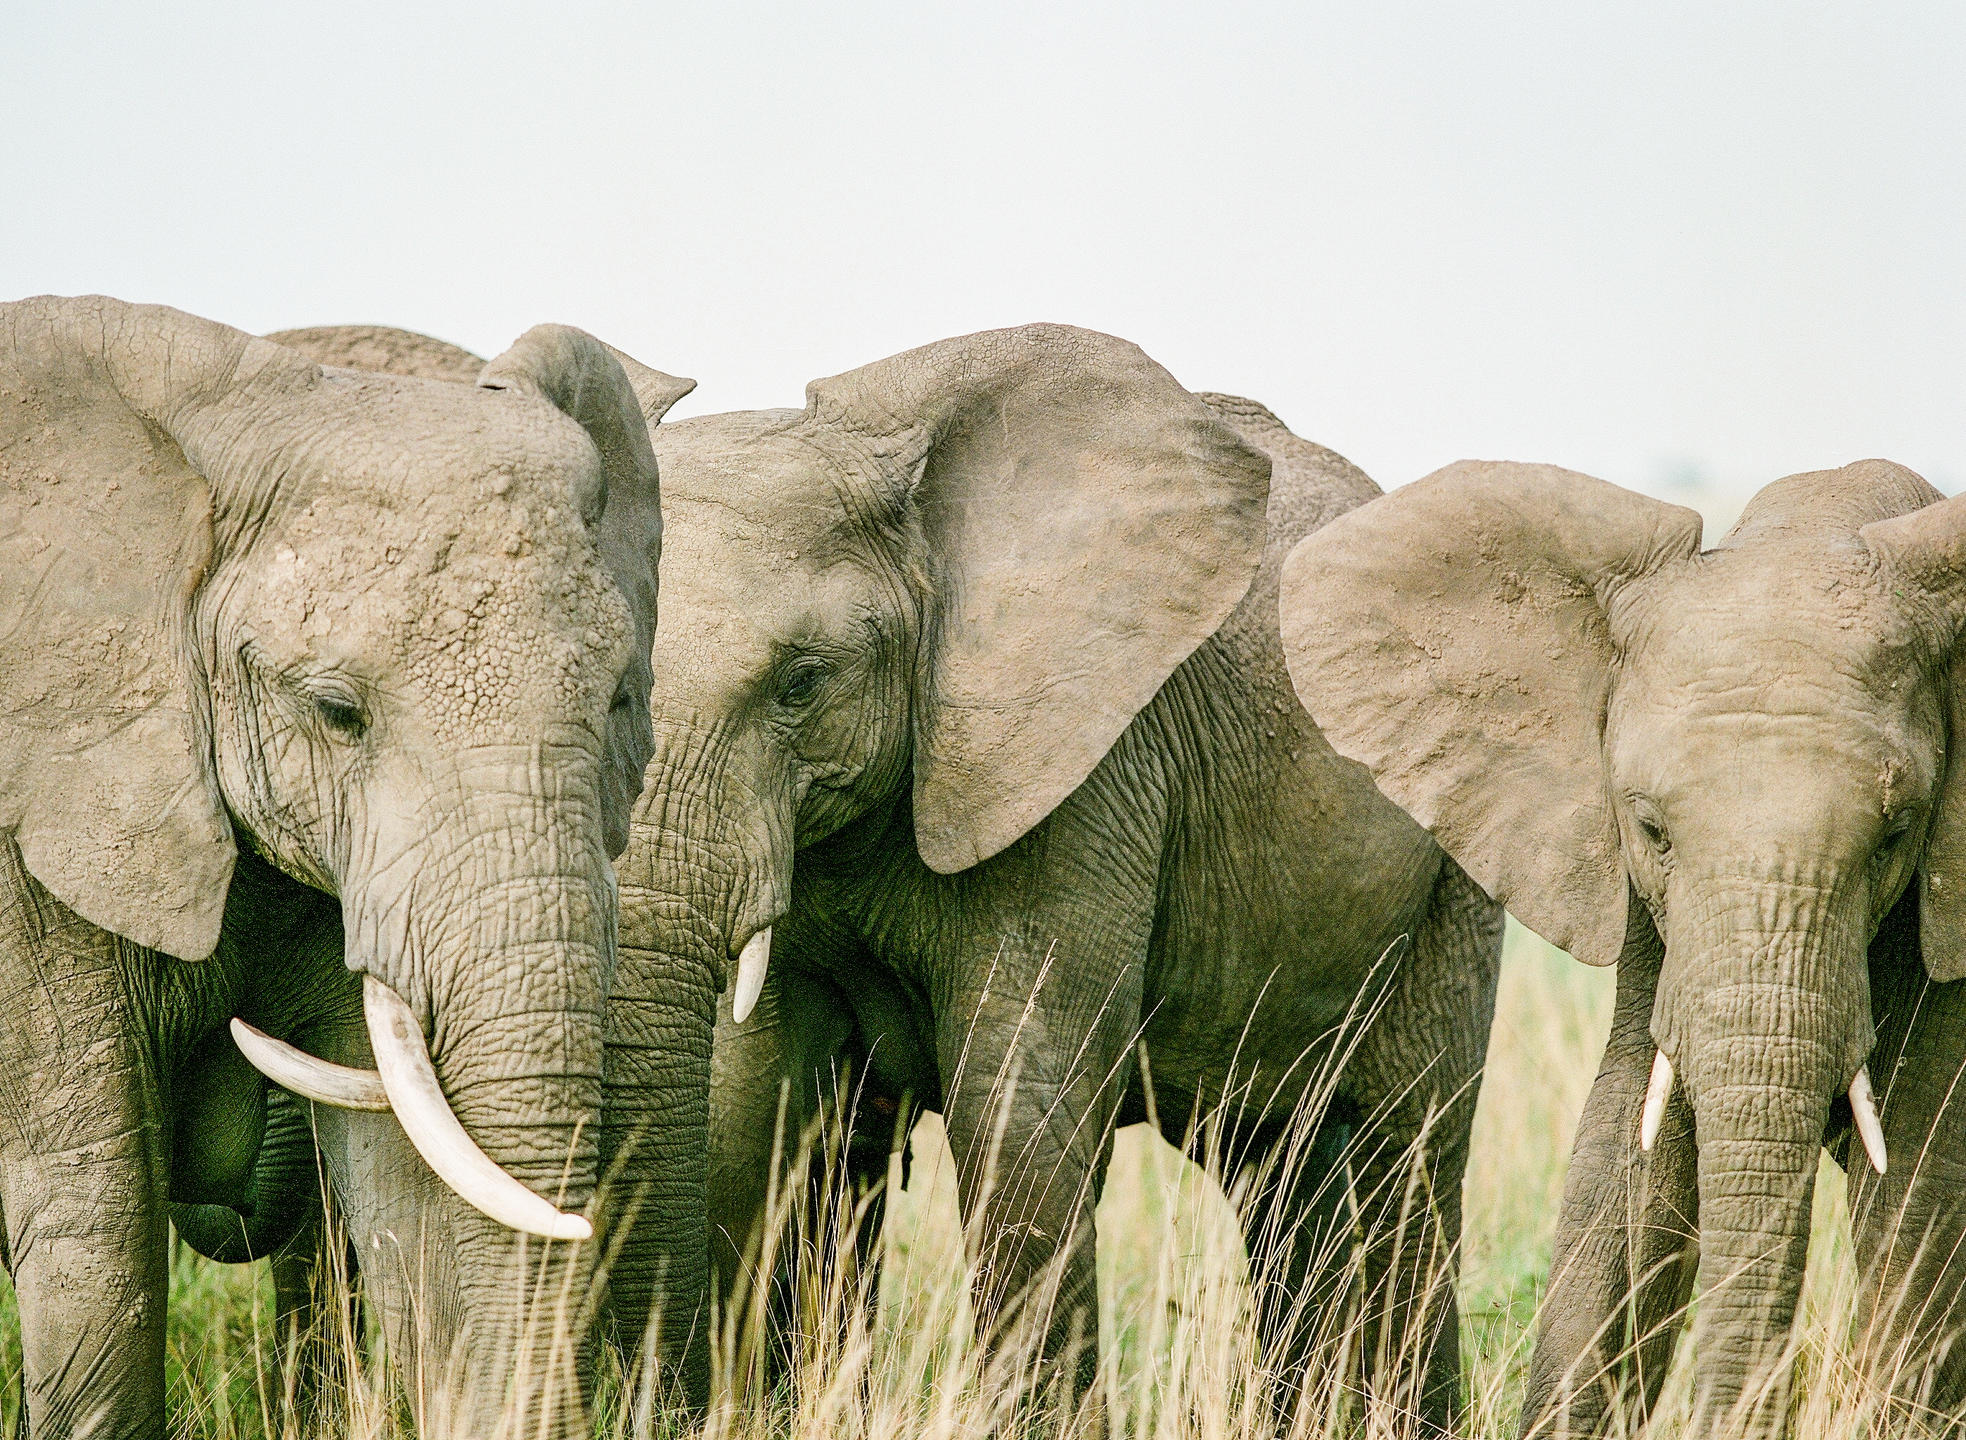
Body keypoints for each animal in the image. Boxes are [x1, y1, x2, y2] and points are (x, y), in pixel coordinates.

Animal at [613, 328, 1502, 1432]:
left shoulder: (1091, 777)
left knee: (1401, 1160)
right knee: (1280, 1175)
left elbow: (1018, 1116)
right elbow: (765, 1112)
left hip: (1461, 844)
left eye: (801, 682)